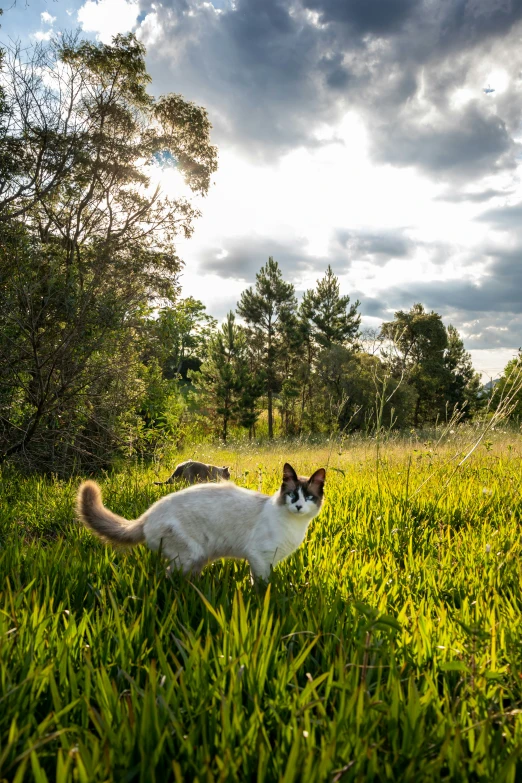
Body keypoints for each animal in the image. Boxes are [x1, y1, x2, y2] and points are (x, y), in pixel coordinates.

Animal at [75, 462, 322, 584]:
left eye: (309, 497)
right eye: (292, 495)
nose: (299, 506)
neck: (294, 526)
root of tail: (147, 515)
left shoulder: (269, 562)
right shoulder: (259, 558)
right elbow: (263, 587)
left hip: (200, 558)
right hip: (188, 556)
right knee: (166, 577)